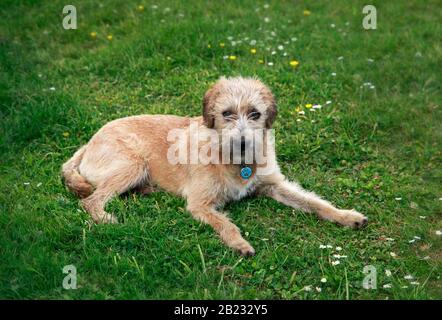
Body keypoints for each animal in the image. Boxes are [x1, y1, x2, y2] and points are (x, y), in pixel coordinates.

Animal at [61, 76, 366, 256]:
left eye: (255, 113)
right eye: (226, 113)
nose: (243, 143)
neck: (236, 163)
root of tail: (89, 143)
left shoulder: (274, 185)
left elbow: (315, 202)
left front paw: (346, 216)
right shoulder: (200, 204)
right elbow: (226, 224)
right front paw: (240, 244)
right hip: (132, 164)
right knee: (91, 200)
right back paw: (107, 219)